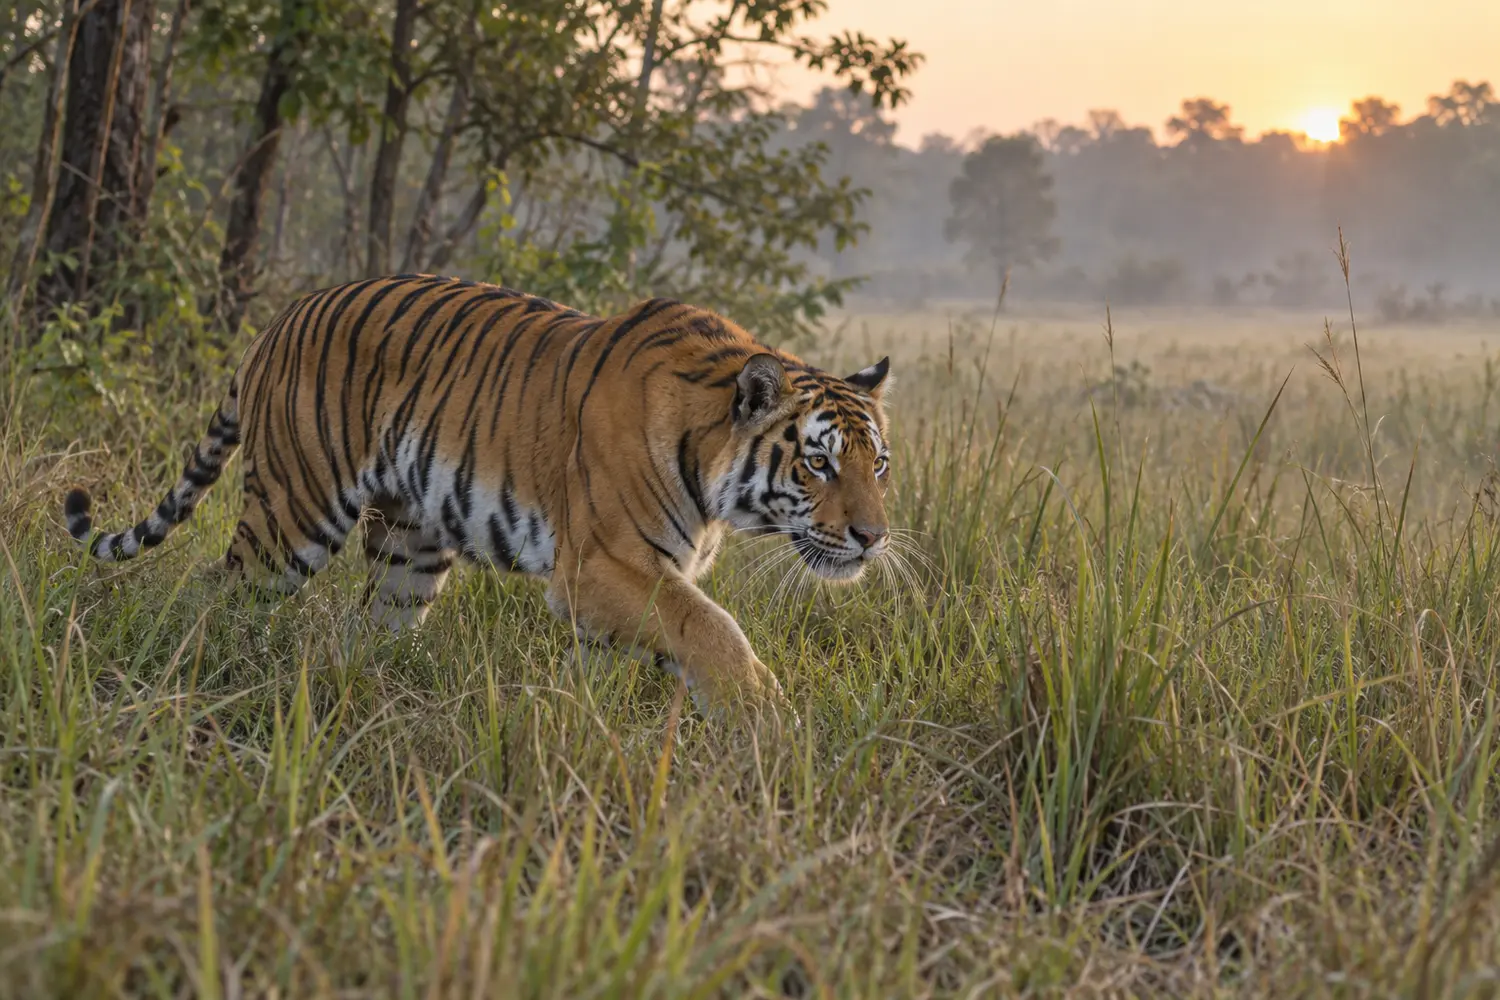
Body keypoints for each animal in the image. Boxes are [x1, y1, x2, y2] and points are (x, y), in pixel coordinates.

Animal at [63, 275, 893, 718]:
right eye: (819, 464)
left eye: (878, 465)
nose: (874, 538)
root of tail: (278, 321)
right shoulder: (607, 565)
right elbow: (716, 630)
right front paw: (771, 721)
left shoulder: (617, 589)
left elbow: (623, 664)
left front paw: (568, 730)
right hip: (292, 518)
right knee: (219, 595)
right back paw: (210, 676)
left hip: (410, 552)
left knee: (367, 631)